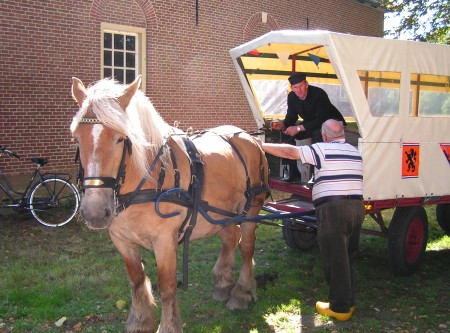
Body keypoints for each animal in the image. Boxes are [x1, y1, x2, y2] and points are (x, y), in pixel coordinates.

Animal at [68, 76, 268, 332]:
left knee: (246, 247)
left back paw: (242, 291)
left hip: (251, 209)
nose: (94, 212)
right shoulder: (121, 240)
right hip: (224, 213)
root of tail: (250, 137)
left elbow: (166, 287)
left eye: (120, 138)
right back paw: (223, 282)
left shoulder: (164, 241)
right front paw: (140, 321)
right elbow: (136, 281)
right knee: (230, 239)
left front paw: (169, 325)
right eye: (76, 138)